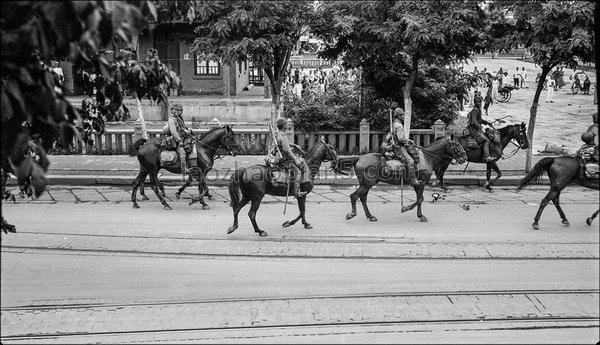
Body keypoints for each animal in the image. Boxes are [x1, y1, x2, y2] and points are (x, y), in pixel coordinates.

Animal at [336, 136, 466, 222]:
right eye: (457, 145)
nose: (464, 157)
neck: (427, 157)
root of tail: (359, 158)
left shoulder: (417, 183)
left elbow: (420, 199)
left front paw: (413, 211)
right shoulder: (422, 183)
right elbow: (420, 199)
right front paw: (414, 213)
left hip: (366, 184)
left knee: (362, 198)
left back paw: (370, 216)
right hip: (366, 184)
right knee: (354, 196)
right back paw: (352, 214)